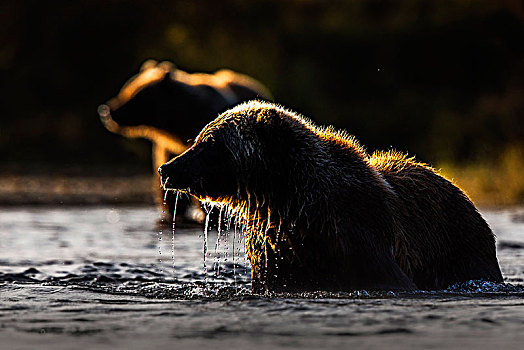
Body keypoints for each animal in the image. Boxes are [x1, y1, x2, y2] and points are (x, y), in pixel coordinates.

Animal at [157, 101, 504, 292]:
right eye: (198, 138)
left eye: (210, 143)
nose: (166, 168)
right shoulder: (277, 245)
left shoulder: (359, 235)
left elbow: (393, 279)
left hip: (461, 246)